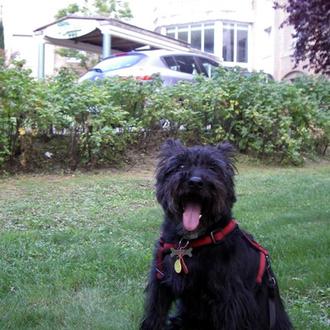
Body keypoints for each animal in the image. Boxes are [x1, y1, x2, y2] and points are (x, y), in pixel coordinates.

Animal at [141, 140, 292, 330]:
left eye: (213, 168)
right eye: (180, 165)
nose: (195, 182)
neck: (189, 243)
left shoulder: (232, 301)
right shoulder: (160, 286)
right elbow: (154, 316)